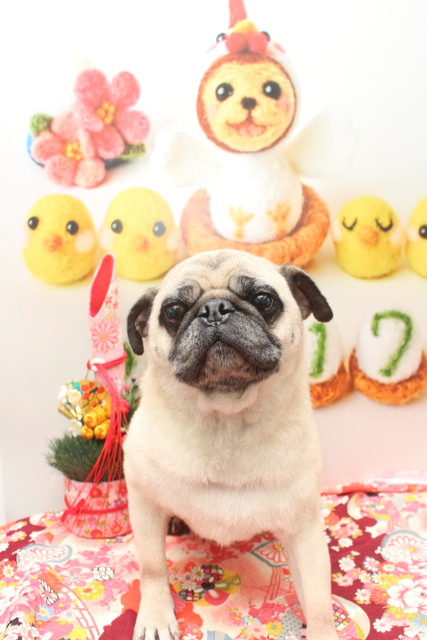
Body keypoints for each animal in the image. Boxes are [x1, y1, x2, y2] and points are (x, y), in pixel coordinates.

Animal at [124, 249, 338, 640]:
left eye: (264, 301)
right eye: (173, 311)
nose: (215, 309)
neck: (226, 421)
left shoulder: (304, 529)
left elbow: (318, 601)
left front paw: (322, 630)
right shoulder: (144, 502)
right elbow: (152, 568)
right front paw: (156, 617)